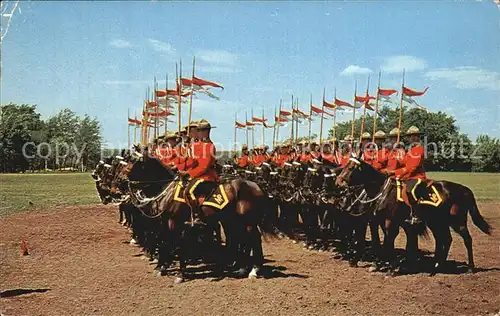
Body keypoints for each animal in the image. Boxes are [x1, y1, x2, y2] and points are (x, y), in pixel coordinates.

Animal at [336, 157, 492, 276]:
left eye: (351, 168)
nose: (339, 182)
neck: (381, 192)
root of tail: (464, 189)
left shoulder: (388, 222)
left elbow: (387, 242)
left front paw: (390, 268)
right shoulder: (377, 221)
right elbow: (380, 241)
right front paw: (379, 263)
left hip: (457, 222)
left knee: (467, 239)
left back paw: (470, 267)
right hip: (437, 222)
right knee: (445, 240)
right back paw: (436, 266)